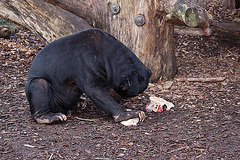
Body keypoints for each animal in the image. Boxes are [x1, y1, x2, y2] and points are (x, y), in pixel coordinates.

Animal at [24, 28, 152, 124]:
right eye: (131, 94)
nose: (125, 98)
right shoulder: (85, 63)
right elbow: (94, 90)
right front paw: (131, 113)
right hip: (45, 92)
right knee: (39, 84)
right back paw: (52, 116)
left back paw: (80, 102)